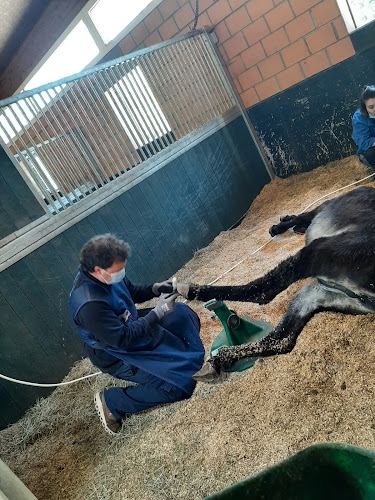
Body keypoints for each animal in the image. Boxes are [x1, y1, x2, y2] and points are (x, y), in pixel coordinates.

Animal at [184, 187, 375, 382]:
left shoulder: (324, 208)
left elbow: (302, 216)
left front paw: (278, 226)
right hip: (320, 294)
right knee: (281, 340)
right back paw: (220, 359)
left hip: (320, 251)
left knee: (263, 291)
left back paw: (191, 290)